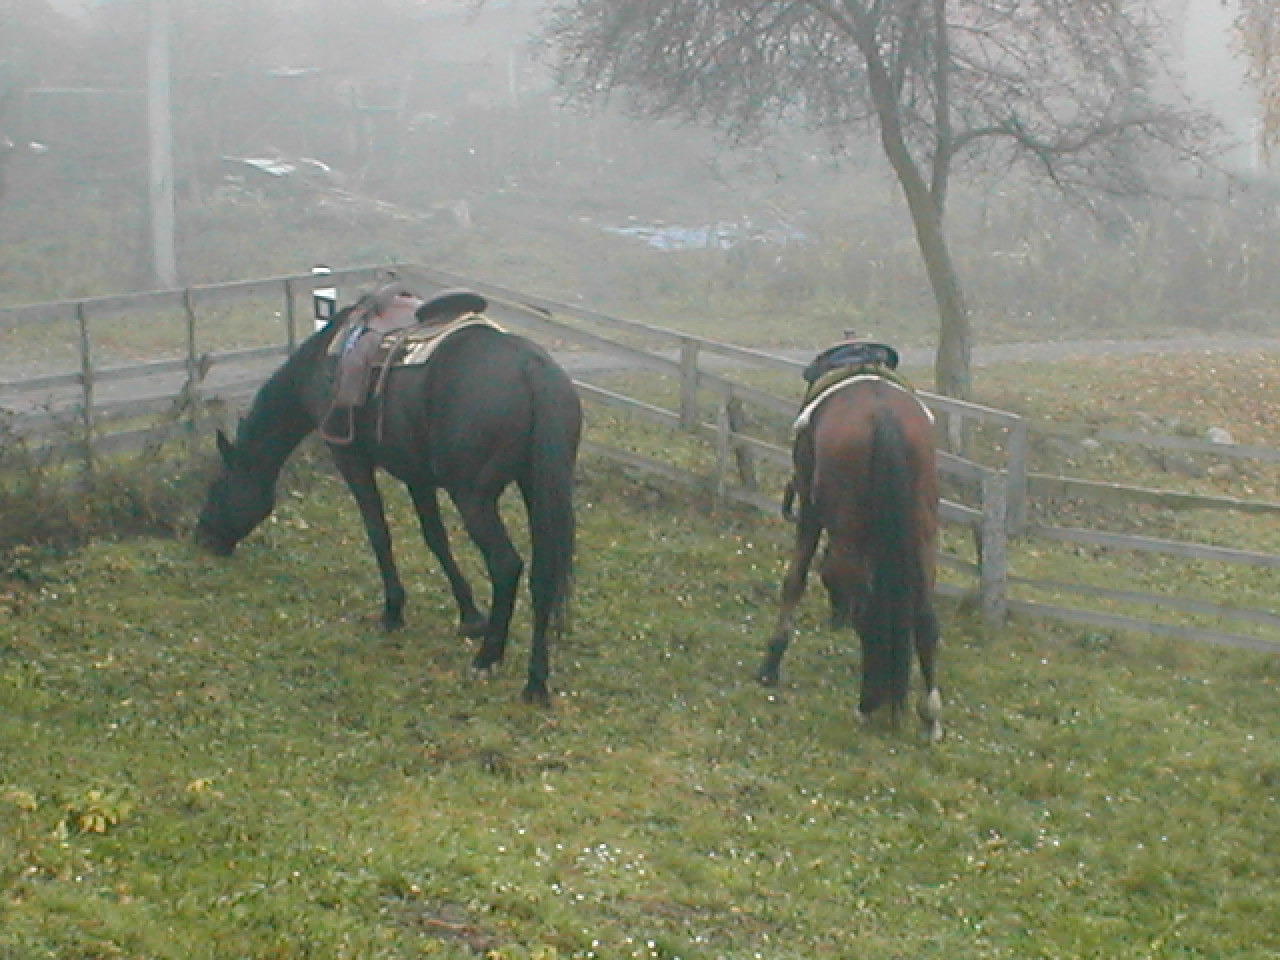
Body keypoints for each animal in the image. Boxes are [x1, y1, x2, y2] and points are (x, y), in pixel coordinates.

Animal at [194, 288, 581, 706]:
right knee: (544, 575)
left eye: (217, 487)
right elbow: (436, 539)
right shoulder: (417, 476)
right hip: (537, 489)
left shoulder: (351, 459)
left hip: (474, 499)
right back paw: (536, 681)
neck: (324, 361)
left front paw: (393, 612)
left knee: (506, 566)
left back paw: (488, 658)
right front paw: (469, 615)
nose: (203, 537)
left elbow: (379, 533)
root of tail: (533, 370)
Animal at [757, 371, 942, 742]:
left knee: (866, 611)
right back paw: (928, 716)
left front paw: (772, 661)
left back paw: (868, 703)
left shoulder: (811, 511)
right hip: (922, 535)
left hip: (845, 532)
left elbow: (796, 579)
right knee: (925, 616)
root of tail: (883, 417)